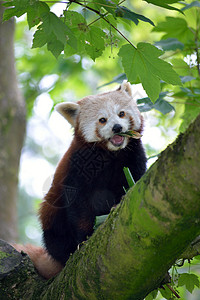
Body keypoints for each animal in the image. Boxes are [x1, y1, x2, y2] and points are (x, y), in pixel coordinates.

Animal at [13, 81, 146, 278]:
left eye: (121, 114)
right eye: (102, 120)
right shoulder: (77, 167)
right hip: (51, 215)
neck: (110, 154)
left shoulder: (133, 157)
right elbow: (79, 206)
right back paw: (66, 254)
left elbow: (134, 182)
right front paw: (84, 238)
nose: (117, 128)